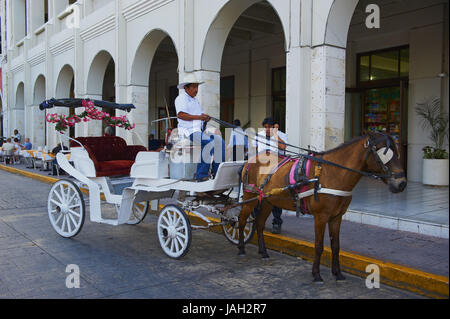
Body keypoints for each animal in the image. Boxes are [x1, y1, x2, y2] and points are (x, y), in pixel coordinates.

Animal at [237, 132, 406, 282]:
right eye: (385, 153)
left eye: (397, 152)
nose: (402, 183)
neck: (334, 173)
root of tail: (250, 159)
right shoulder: (321, 216)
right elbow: (318, 246)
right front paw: (316, 275)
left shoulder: (336, 217)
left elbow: (335, 245)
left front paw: (337, 273)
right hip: (249, 198)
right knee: (241, 220)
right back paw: (241, 248)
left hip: (267, 201)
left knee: (259, 223)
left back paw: (263, 252)